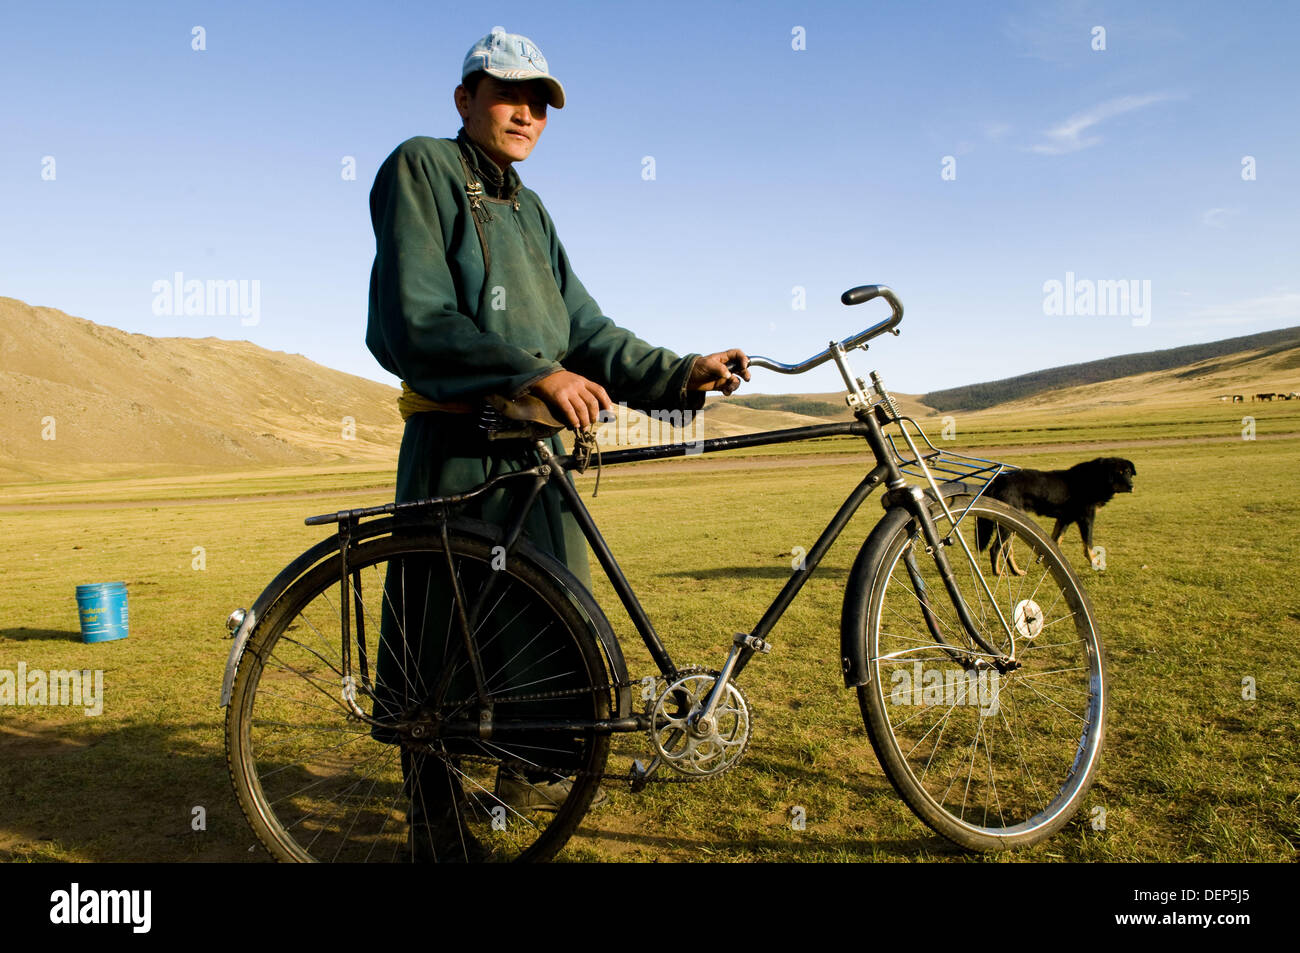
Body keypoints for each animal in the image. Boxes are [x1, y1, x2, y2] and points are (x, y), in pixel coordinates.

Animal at [977, 455, 1133, 572]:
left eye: (1128, 472)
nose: (1131, 486)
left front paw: (1044, 558)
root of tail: (997, 480)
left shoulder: (1065, 519)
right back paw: (998, 572)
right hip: (1007, 524)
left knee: (1007, 549)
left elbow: (1056, 541)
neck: (1095, 478)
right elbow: (1088, 545)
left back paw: (1016, 571)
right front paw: (1095, 563)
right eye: (1119, 473)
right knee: (995, 548)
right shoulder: (1086, 519)